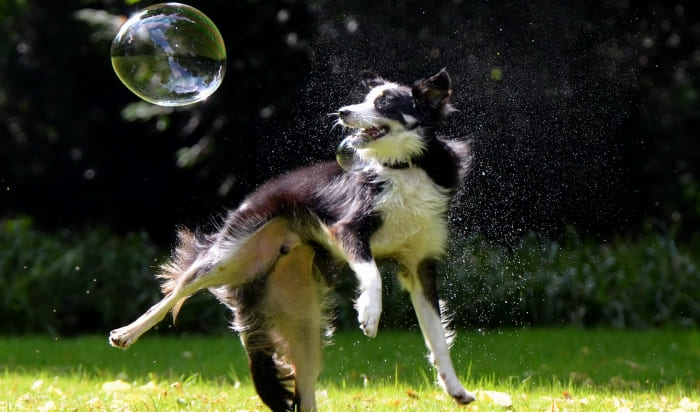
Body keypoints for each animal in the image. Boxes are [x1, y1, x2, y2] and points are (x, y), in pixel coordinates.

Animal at [109, 69, 476, 410]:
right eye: (366, 99)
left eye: (384, 103)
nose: (343, 111)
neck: (405, 167)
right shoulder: (347, 229)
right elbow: (372, 273)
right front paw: (369, 314)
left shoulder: (421, 266)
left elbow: (438, 338)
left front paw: (455, 388)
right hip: (228, 253)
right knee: (175, 292)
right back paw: (126, 333)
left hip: (304, 323)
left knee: (304, 392)